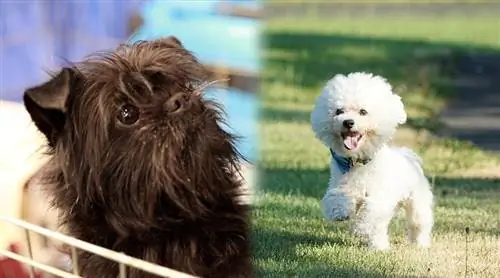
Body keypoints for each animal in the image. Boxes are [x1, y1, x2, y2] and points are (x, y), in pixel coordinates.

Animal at [312, 71, 434, 250]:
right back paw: (379, 248)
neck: (358, 162)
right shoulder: (340, 183)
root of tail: (407, 156)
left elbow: (372, 211)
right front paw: (340, 212)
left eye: (363, 111)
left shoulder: (381, 195)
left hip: (417, 201)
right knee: (381, 230)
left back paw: (420, 244)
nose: (348, 122)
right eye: (339, 111)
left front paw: (361, 228)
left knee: (419, 223)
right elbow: (337, 197)